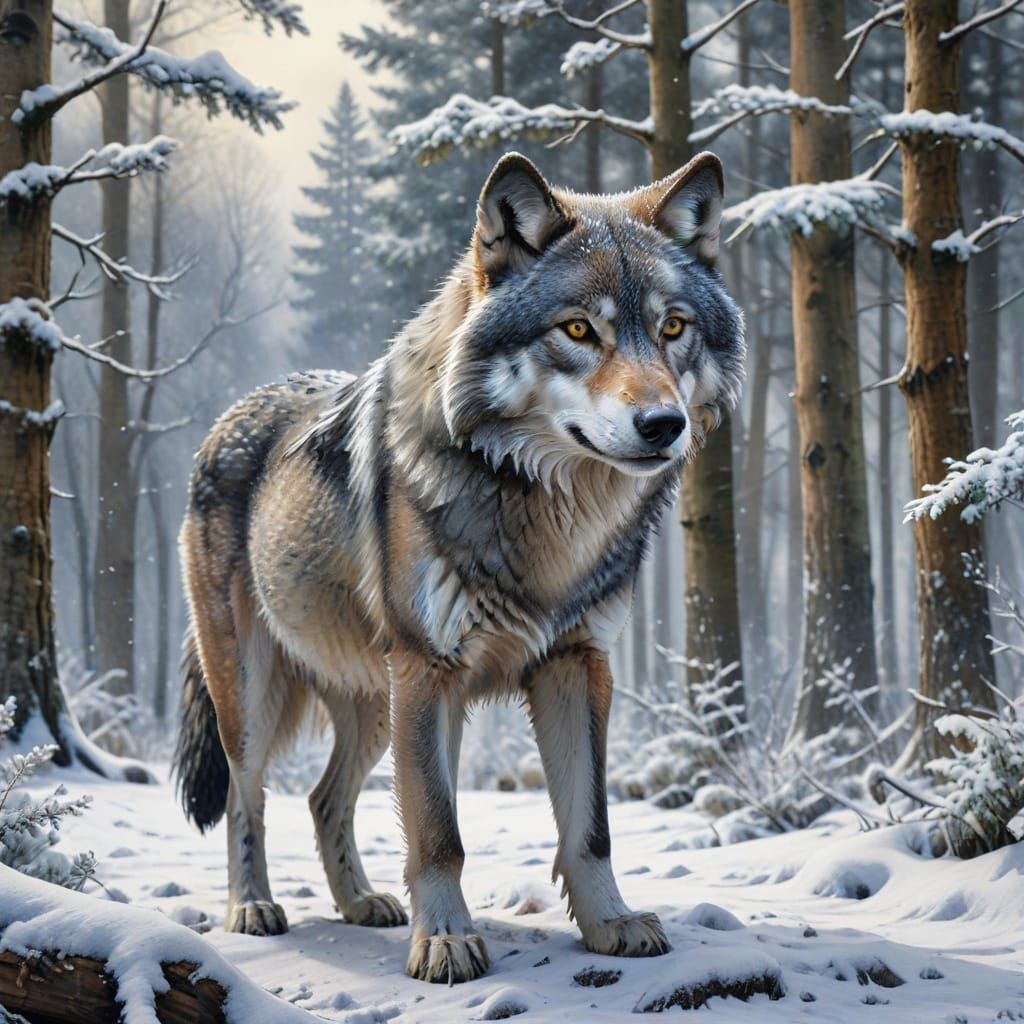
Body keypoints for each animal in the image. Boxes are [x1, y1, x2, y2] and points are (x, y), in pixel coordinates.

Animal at [173, 150, 744, 983]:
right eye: (579, 330)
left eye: (674, 328)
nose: (663, 424)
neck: (548, 518)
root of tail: (232, 413)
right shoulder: (428, 671)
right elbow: (438, 831)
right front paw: (443, 940)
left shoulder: (577, 664)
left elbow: (591, 826)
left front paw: (610, 923)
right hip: (255, 692)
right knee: (251, 798)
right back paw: (252, 907)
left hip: (375, 705)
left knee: (323, 798)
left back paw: (362, 903)